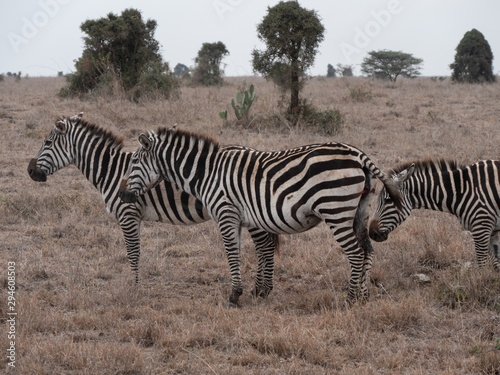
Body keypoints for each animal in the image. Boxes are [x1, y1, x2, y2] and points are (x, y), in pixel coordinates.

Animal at [27, 112, 280, 296]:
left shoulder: (127, 214)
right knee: (263, 247)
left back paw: (262, 290)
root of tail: (252, 149)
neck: (110, 171)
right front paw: (136, 285)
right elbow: (135, 252)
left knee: (264, 246)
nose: (30, 171)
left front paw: (135, 288)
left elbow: (133, 252)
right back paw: (259, 288)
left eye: (47, 142)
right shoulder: (133, 215)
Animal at [118, 129, 402, 306]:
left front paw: (235, 296)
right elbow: (256, 251)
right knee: (367, 250)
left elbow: (233, 253)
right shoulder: (244, 216)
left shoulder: (226, 213)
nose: (121, 194)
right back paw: (363, 296)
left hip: (335, 209)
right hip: (360, 210)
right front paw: (255, 291)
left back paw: (350, 299)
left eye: (133, 163)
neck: (207, 174)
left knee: (355, 253)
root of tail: (357, 153)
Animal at [368, 159, 500, 270]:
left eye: (388, 200)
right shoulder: (492, 230)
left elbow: (482, 265)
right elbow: (496, 264)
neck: (461, 191)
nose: (371, 233)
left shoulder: (481, 227)